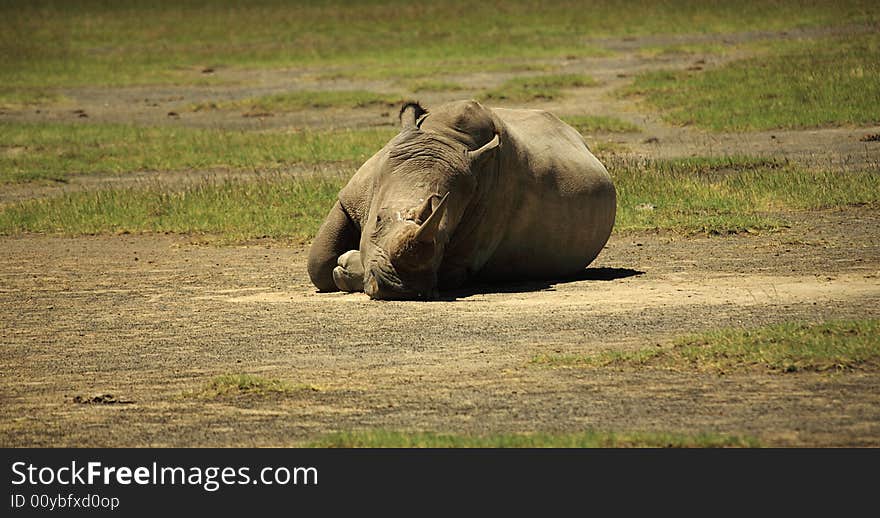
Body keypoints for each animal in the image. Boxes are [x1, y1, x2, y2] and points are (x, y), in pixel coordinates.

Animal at [310, 100, 620, 300]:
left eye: (446, 237)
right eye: (376, 221)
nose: (399, 289)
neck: (445, 137)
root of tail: (580, 140)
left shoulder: (468, 251)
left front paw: (348, 266)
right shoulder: (352, 197)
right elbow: (318, 262)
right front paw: (342, 266)